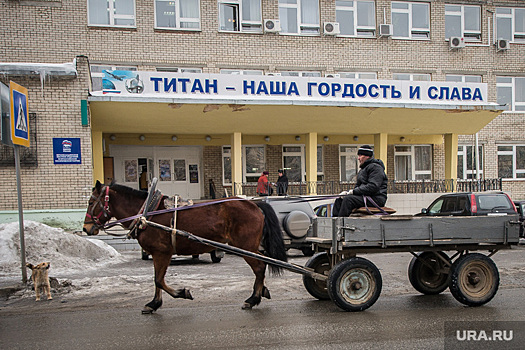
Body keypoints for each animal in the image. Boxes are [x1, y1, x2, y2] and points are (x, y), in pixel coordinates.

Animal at [82, 182, 286, 314]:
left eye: (91, 202)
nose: (86, 228)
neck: (148, 213)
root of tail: (254, 203)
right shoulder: (158, 254)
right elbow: (157, 279)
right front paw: (154, 304)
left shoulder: (162, 252)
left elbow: (158, 280)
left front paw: (181, 293)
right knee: (261, 266)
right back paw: (261, 292)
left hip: (245, 245)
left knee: (259, 267)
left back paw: (252, 299)